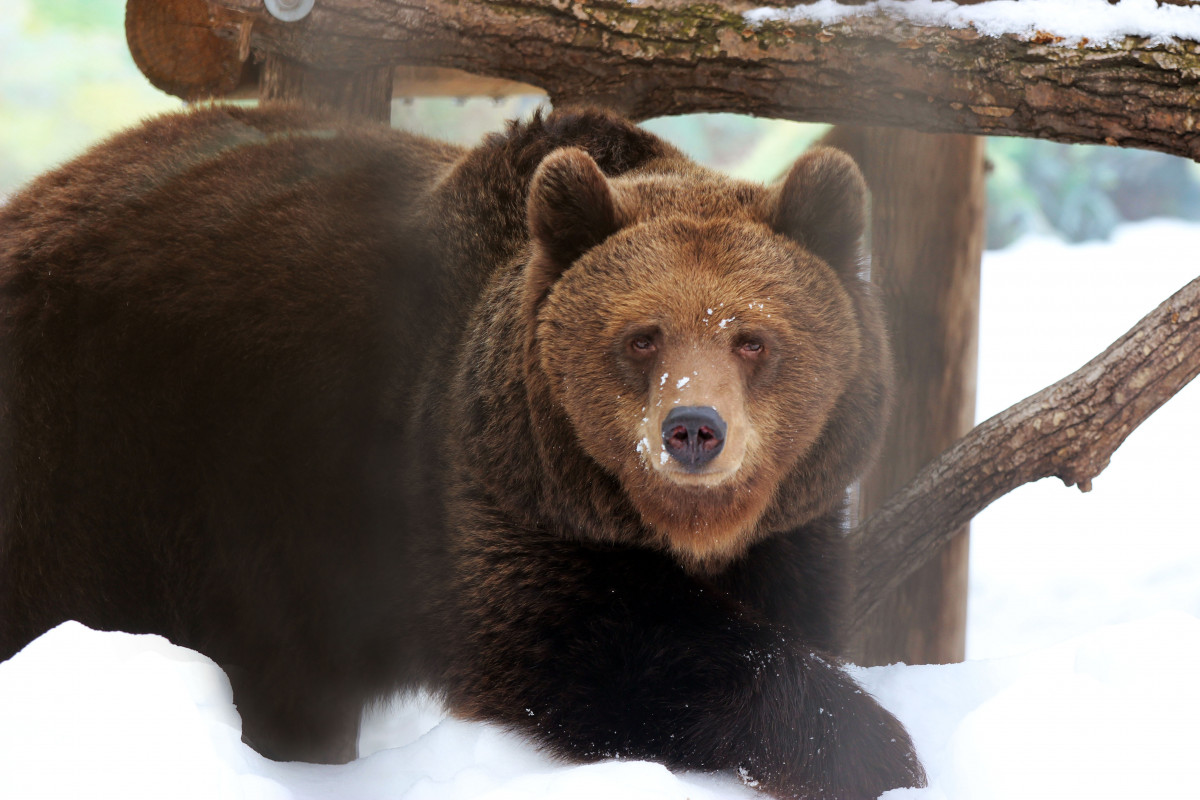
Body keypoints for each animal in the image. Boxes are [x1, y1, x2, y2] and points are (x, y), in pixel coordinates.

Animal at [0, 106, 916, 800]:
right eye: (642, 336)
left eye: (753, 339)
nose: (693, 429)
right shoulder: (474, 492)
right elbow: (601, 644)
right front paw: (873, 749)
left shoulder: (786, 527)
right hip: (102, 457)